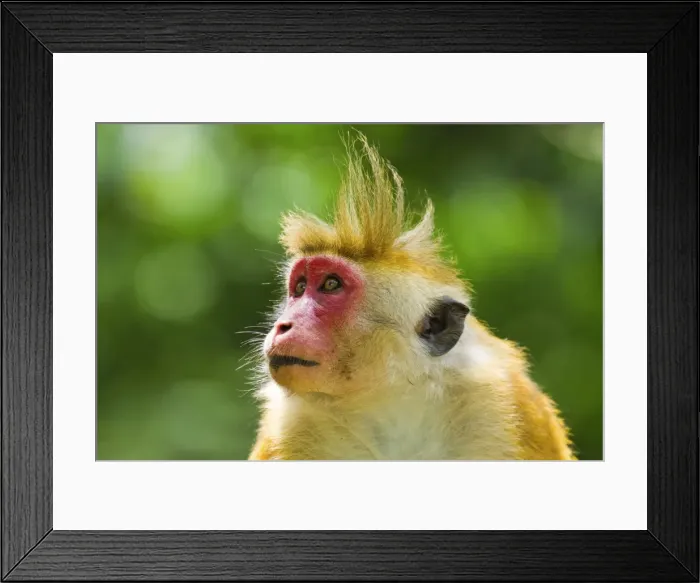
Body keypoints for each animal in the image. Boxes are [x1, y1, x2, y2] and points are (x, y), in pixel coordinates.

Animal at [245, 131, 576, 461]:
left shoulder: (503, 406)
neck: (391, 401)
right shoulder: (290, 425)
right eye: (300, 288)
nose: (283, 326)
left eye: (330, 285)